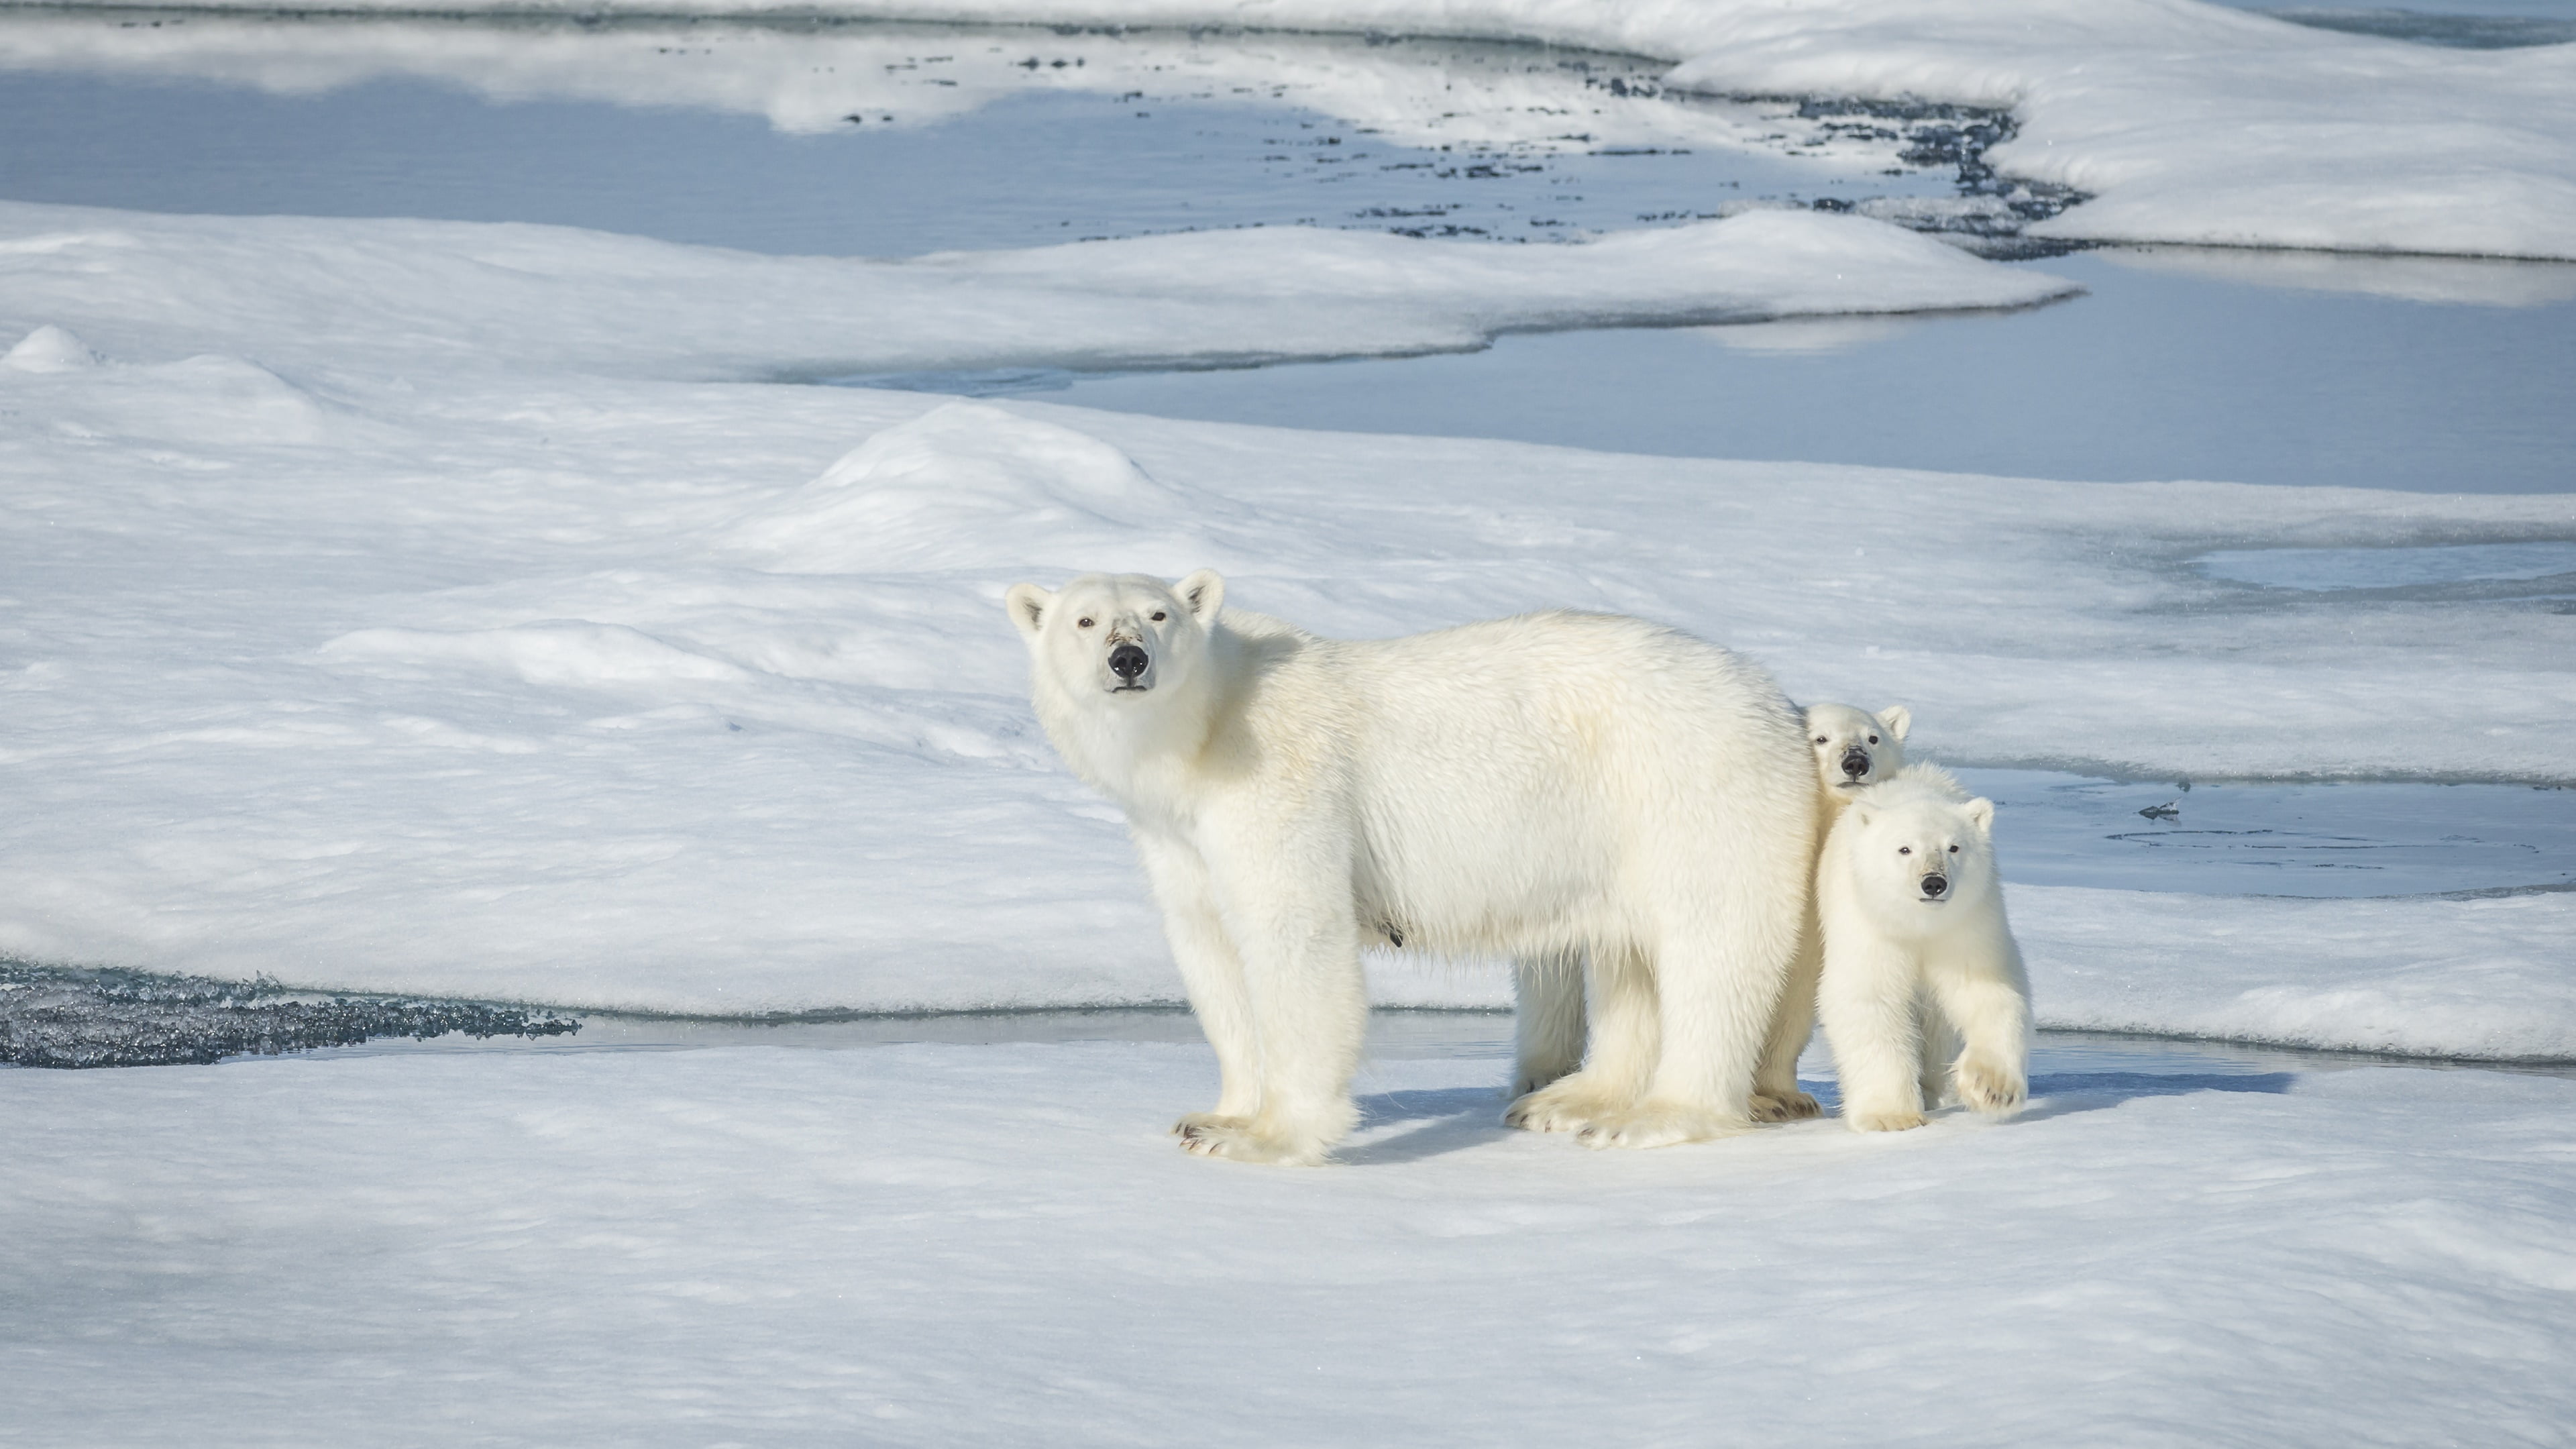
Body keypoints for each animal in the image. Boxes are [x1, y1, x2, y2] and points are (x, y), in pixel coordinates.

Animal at [1004, 569, 1817, 1164]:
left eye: (1159, 615)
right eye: (1084, 621)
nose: (1128, 658)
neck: (1203, 735)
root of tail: (1776, 700)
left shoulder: (1279, 784)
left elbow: (1296, 936)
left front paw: (1269, 1137)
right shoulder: (1178, 836)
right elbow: (1209, 950)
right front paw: (1213, 1117)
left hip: (1690, 789)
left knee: (1711, 944)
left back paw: (1652, 1116)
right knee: (1627, 954)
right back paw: (1571, 1101)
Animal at [1748, 703, 1913, 1122]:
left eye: (1873, 737)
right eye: (1820, 738)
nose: (1855, 762)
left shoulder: (1812, 927)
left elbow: (1796, 1000)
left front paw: (1788, 1096)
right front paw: (1758, 1103)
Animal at [1813, 763, 2031, 1133]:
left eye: (1954, 847)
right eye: (1904, 849)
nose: (1933, 883)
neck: (1918, 925)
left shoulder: (1967, 924)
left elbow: (1986, 989)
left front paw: (1991, 1087)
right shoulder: (1869, 926)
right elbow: (1870, 998)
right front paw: (1890, 1116)